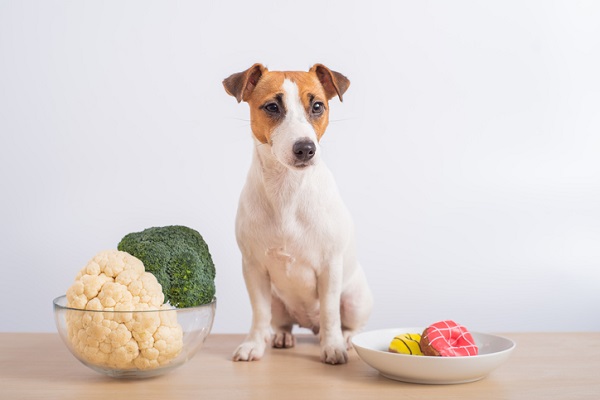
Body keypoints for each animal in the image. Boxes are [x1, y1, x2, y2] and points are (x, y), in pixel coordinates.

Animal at [221, 63, 370, 366]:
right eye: (272, 107)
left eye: (317, 106)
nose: (305, 148)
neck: (287, 189)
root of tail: (308, 324)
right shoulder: (254, 269)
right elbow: (259, 313)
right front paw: (254, 344)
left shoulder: (330, 268)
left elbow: (330, 313)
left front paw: (333, 346)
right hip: (278, 299)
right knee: (280, 321)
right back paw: (281, 335)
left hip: (355, 299)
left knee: (348, 322)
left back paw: (346, 338)